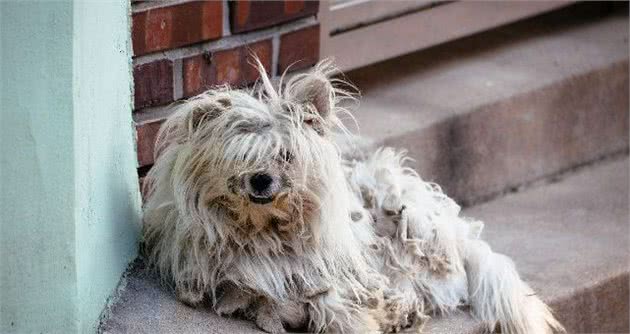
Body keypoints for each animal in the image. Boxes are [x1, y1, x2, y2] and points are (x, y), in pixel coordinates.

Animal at [143, 60, 568, 334]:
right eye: (241, 159)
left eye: (286, 155)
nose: (261, 181)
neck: (265, 233)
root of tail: (462, 238)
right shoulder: (242, 282)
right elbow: (261, 301)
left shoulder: (334, 274)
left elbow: (336, 303)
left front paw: (354, 320)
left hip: (405, 227)